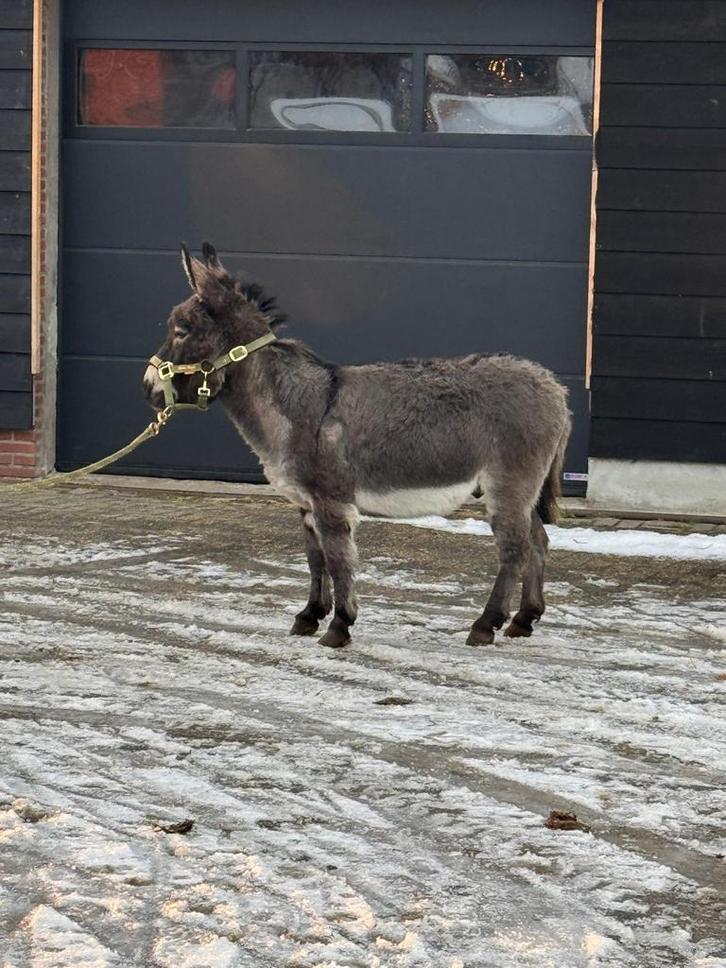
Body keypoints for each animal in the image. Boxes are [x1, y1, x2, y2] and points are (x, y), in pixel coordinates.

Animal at [144, 243, 572, 649]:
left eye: (181, 330)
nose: (148, 389)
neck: (293, 403)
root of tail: (555, 387)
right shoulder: (306, 505)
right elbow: (314, 560)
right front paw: (309, 616)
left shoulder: (332, 503)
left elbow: (338, 562)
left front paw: (338, 627)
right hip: (523, 491)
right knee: (538, 541)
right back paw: (524, 620)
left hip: (510, 484)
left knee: (514, 549)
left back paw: (486, 625)